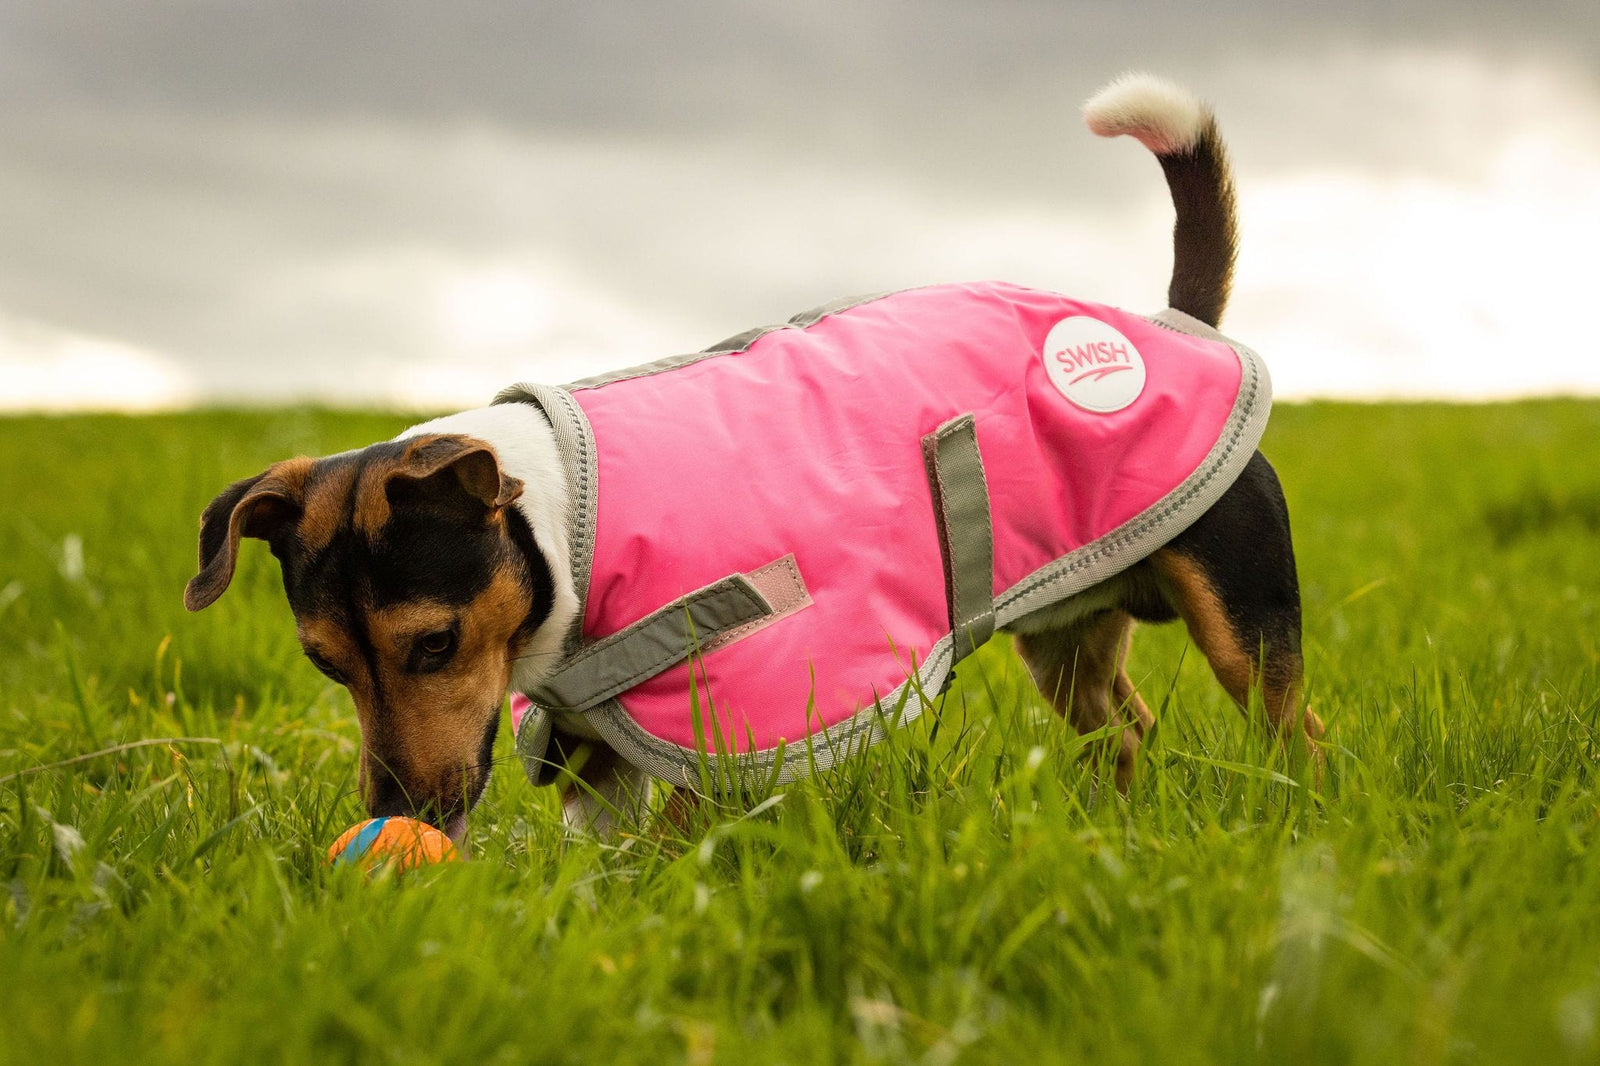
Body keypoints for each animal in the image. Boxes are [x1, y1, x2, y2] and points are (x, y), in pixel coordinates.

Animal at [181, 74, 1324, 838]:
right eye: (325, 664)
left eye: (432, 644)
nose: (404, 814)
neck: (558, 527)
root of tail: (1170, 325)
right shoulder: (598, 750)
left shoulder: (721, 716)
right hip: (1069, 636)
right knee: (1121, 730)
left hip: (1241, 612)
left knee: (1292, 731)